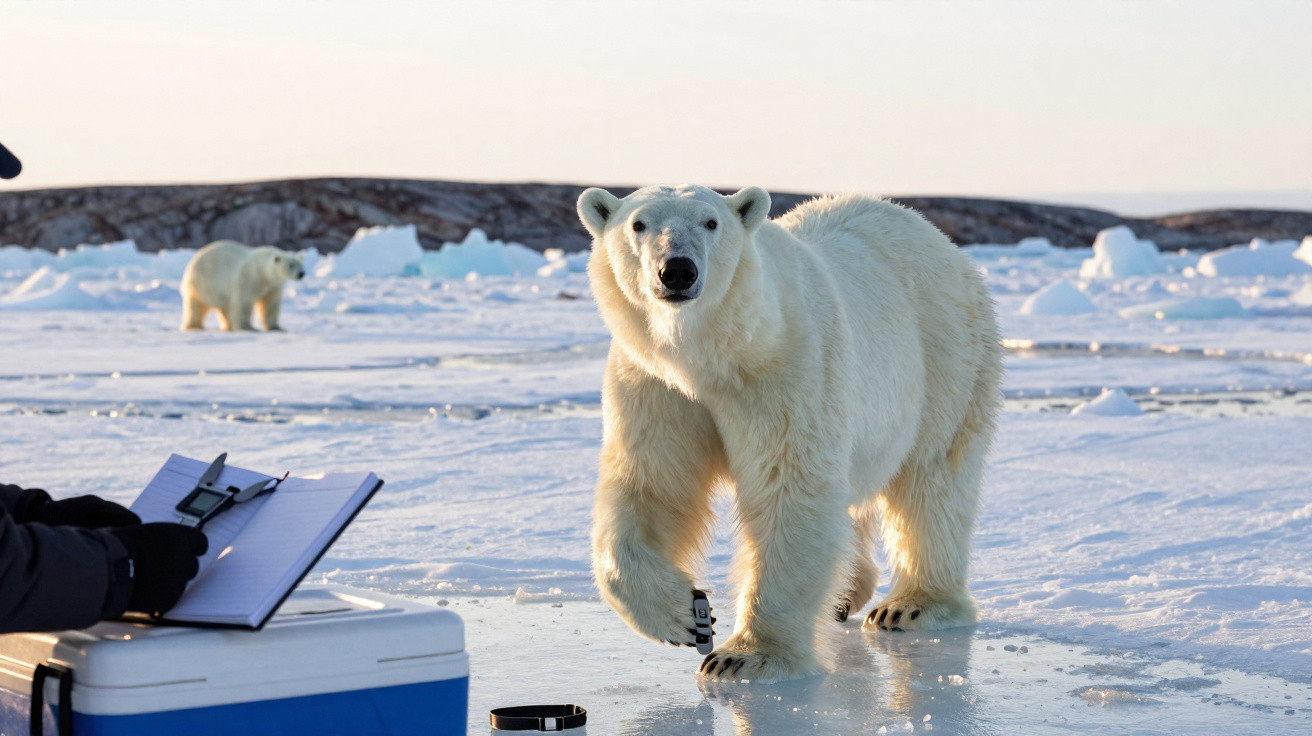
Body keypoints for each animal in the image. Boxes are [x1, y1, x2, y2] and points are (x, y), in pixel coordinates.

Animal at [577, 184, 1001, 682]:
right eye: (638, 224)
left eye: (711, 222)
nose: (677, 270)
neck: (712, 357)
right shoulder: (656, 385)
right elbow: (653, 484)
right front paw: (686, 614)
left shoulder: (786, 369)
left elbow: (789, 488)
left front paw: (744, 655)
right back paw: (846, 594)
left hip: (945, 355)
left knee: (932, 479)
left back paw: (912, 605)